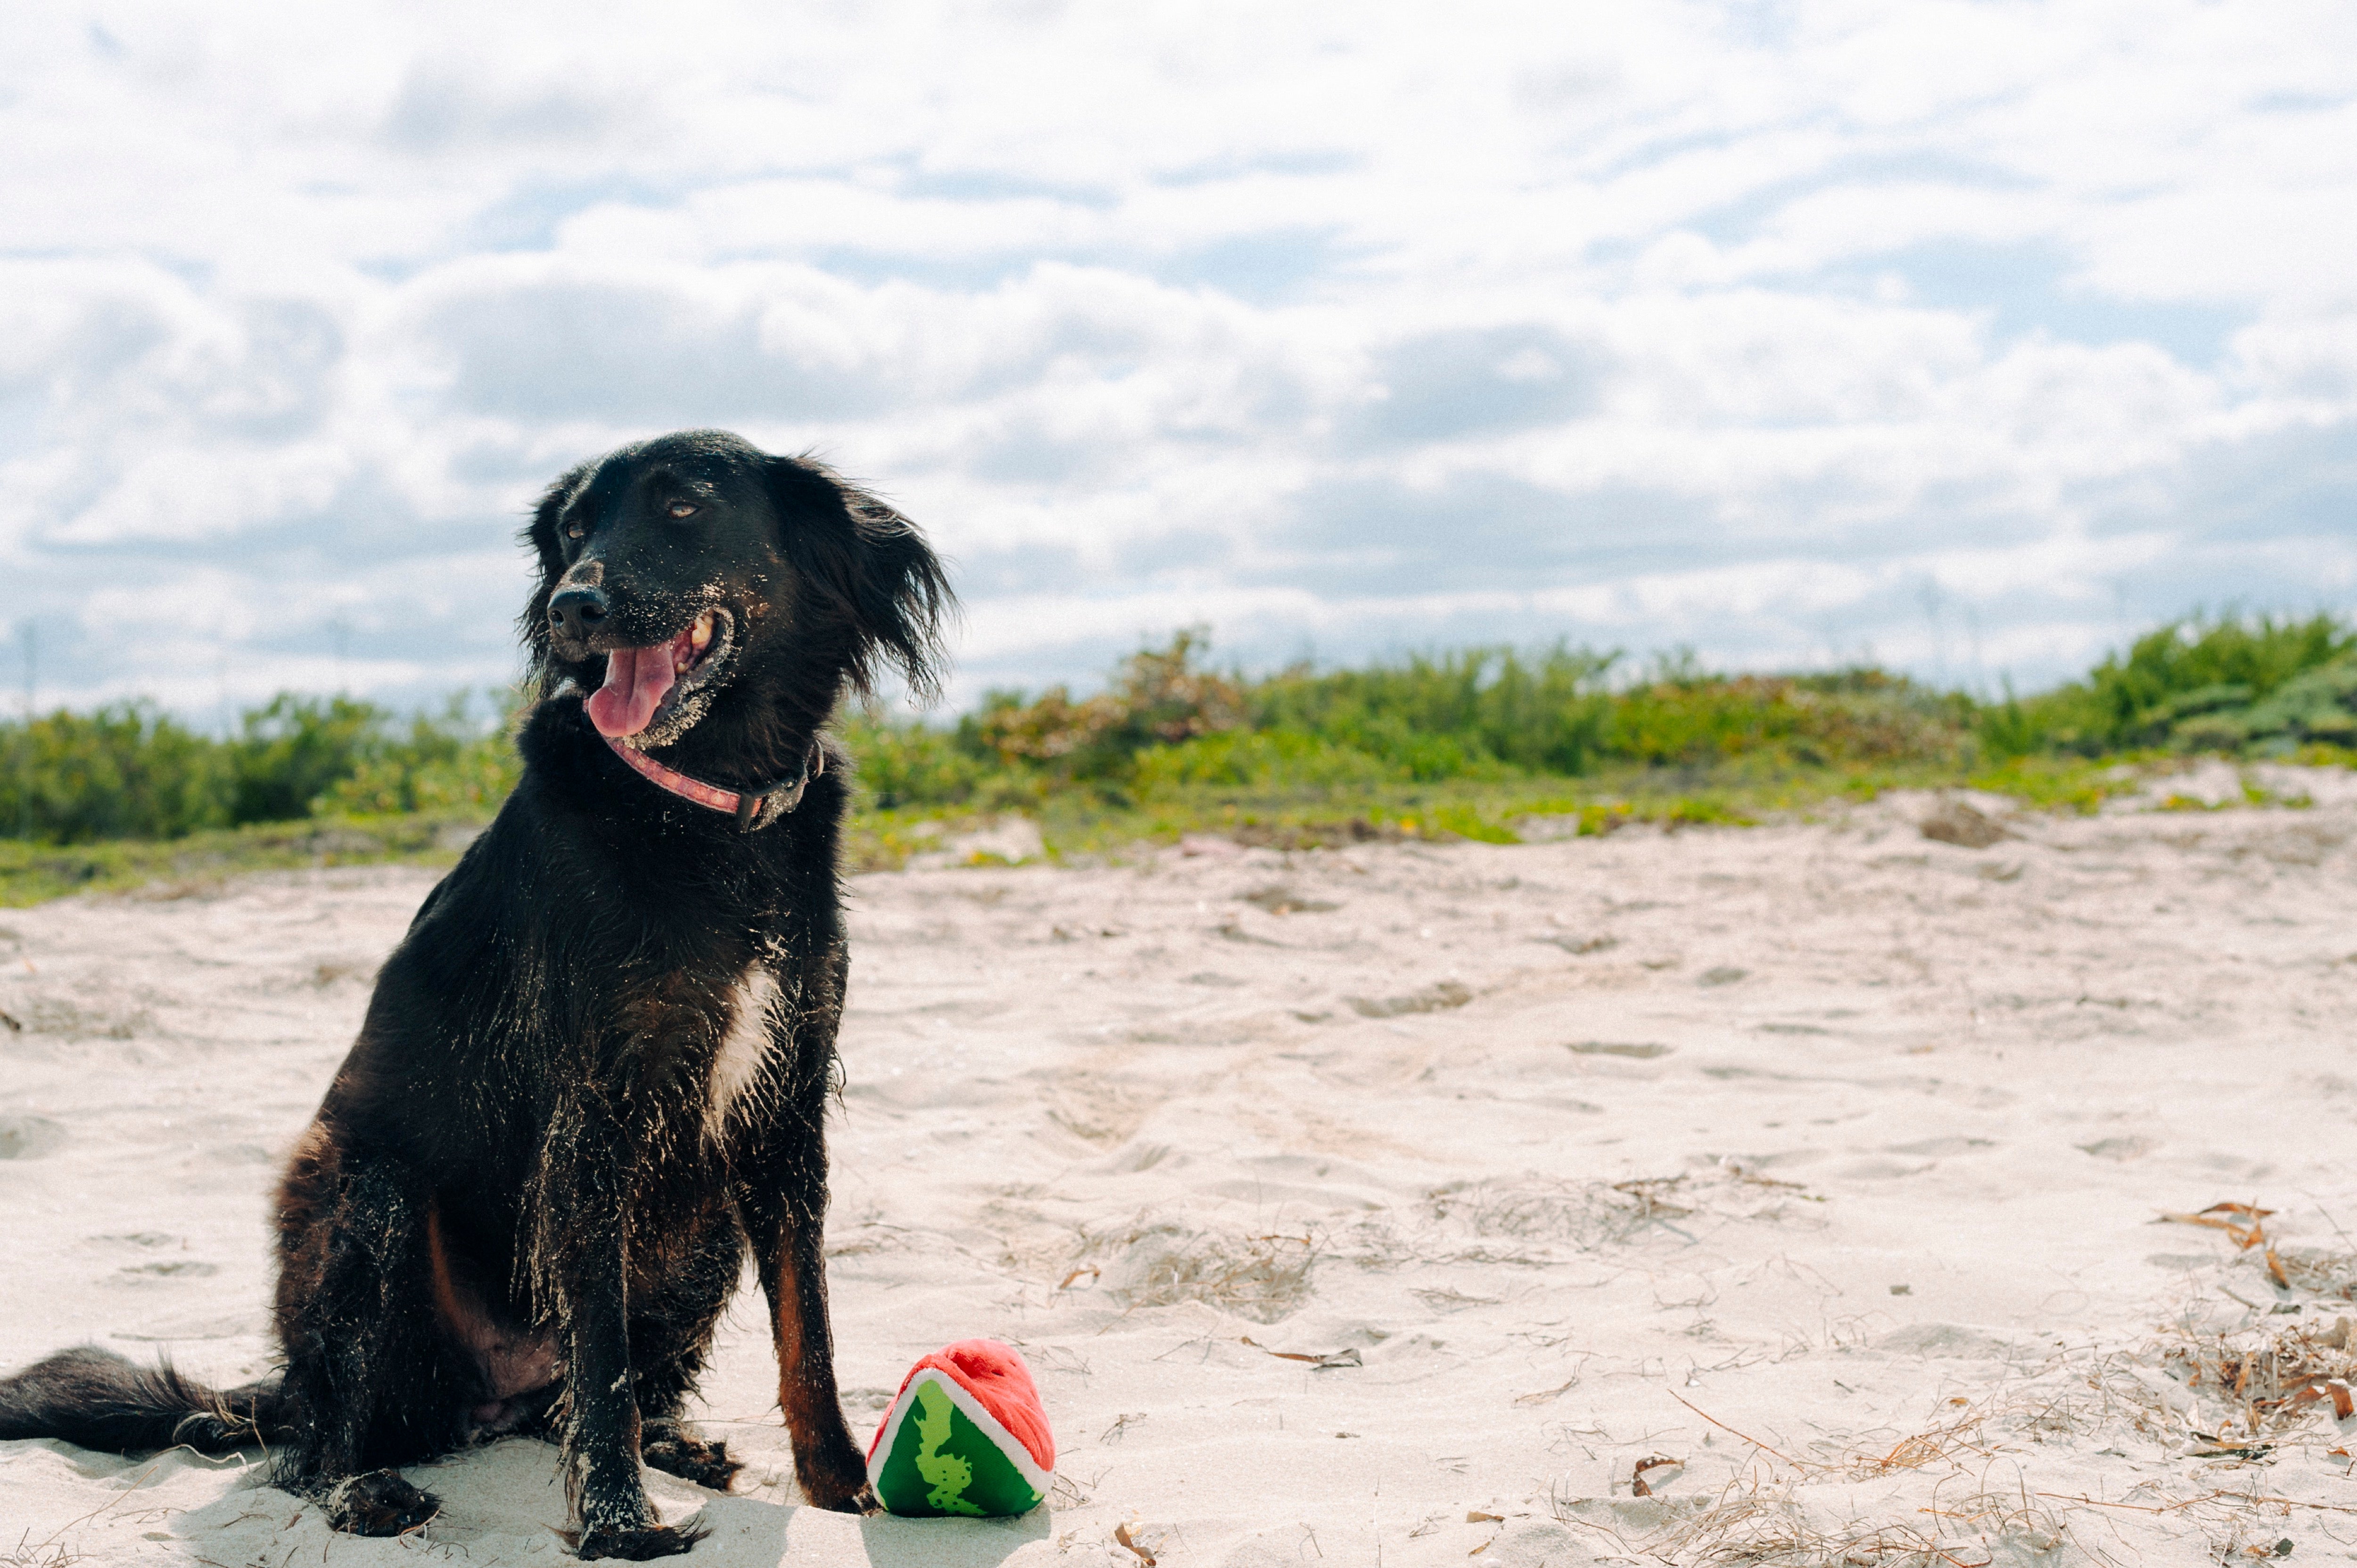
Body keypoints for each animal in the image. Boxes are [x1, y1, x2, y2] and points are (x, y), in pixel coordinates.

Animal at [4, 429, 957, 1556]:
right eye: (573, 531)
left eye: (683, 506)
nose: (572, 608)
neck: (703, 809)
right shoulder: (593, 1113)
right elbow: (604, 1358)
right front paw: (619, 1523)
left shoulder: (784, 1107)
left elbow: (806, 1325)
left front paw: (840, 1483)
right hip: (369, 1202)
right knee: (313, 1446)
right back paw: (363, 1487)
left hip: (706, 1223)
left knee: (571, 1401)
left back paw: (675, 1442)